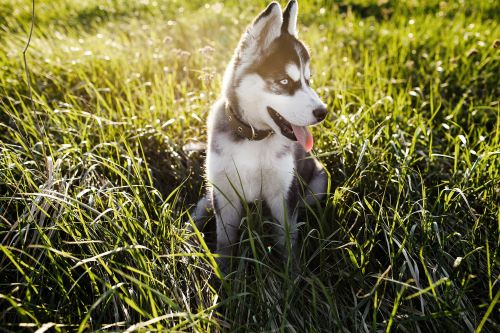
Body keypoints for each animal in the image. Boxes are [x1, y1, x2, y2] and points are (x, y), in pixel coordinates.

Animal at [194, 0, 328, 264]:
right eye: (285, 81)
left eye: (308, 80)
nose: (323, 112)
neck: (253, 139)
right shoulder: (225, 196)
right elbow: (225, 243)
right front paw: (225, 271)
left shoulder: (283, 194)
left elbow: (287, 242)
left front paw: (292, 273)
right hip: (212, 187)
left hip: (319, 182)